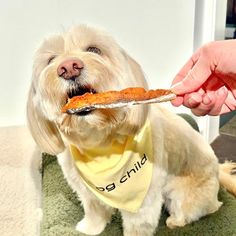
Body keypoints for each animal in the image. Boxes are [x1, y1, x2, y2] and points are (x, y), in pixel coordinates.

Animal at [26, 24, 236, 235]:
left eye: (94, 49)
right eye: (51, 60)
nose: (68, 67)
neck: (99, 141)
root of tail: (217, 171)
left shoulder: (143, 202)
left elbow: (137, 225)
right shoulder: (85, 188)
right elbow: (94, 209)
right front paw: (90, 228)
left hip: (184, 195)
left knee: (197, 210)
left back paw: (176, 221)